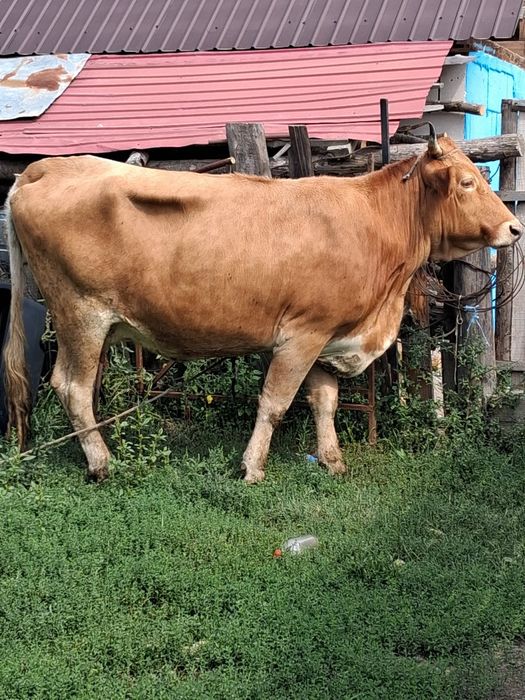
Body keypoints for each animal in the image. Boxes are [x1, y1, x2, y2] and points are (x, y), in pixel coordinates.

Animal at [3, 131, 522, 483]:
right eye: (466, 182)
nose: (514, 228)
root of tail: (47, 167)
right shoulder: (302, 335)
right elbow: (274, 403)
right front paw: (252, 467)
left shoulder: (326, 335)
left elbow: (325, 402)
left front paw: (332, 461)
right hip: (80, 314)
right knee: (72, 387)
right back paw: (101, 462)